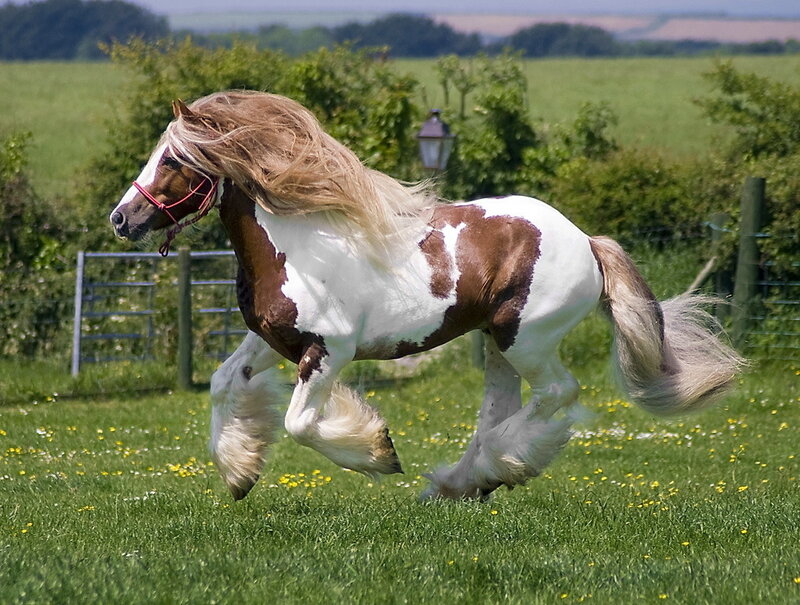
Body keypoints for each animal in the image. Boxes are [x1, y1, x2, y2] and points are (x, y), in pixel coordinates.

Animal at [109, 90, 744, 501]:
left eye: (174, 159)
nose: (122, 218)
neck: (294, 248)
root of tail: (586, 241)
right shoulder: (269, 340)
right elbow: (223, 383)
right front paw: (240, 475)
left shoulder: (329, 352)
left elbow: (300, 424)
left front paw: (379, 452)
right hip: (498, 344)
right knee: (499, 408)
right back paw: (466, 480)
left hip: (526, 339)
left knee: (557, 393)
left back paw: (493, 469)